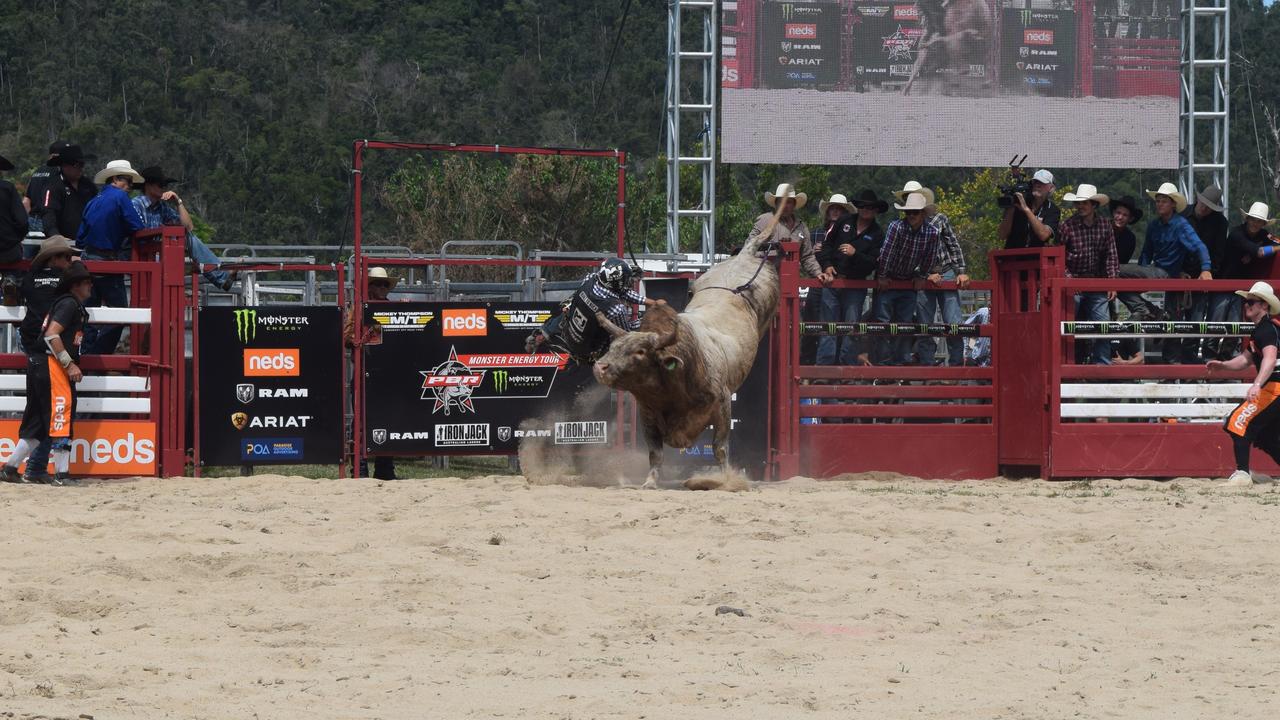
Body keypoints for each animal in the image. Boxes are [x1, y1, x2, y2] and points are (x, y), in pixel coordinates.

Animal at [586, 210, 778, 484]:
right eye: (613, 347)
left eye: (640, 352)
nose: (600, 367)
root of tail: (744, 256)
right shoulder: (647, 415)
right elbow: (655, 453)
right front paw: (650, 481)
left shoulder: (722, 404)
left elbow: (719, 448)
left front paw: (725, 480)